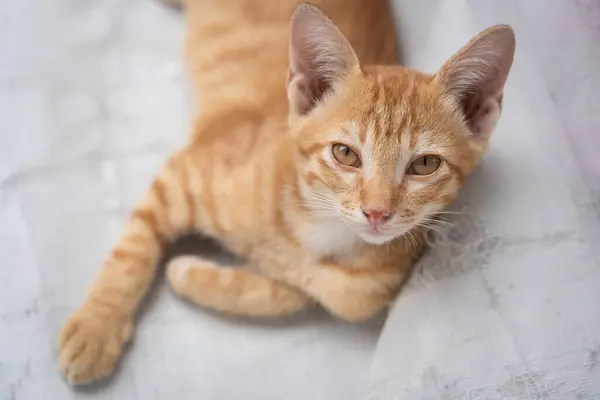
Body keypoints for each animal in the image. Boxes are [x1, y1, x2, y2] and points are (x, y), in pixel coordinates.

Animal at [57, 0, 516, 388]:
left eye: (425, 164)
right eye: (345, 154)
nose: (377, 213)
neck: (317, 227)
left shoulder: (359, 292)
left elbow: (298, 294)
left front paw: (191, 273)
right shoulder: (183, 174)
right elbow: (132, 252)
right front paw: (96, 328)